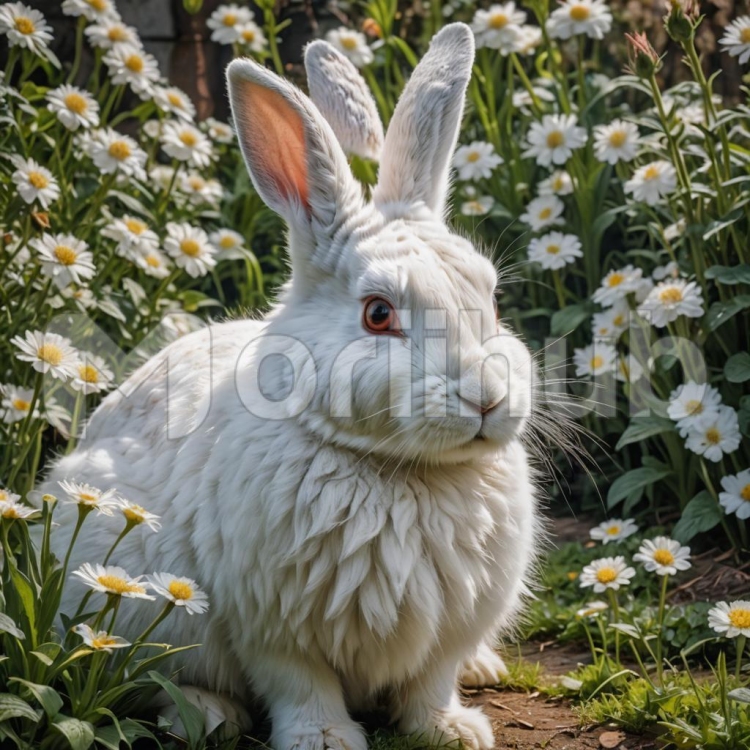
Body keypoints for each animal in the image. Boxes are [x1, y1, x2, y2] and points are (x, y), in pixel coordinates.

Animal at [43, 23, 541, 750]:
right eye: (378, 314)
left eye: (494, 299)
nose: (487, 398)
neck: (401, 470)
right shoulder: (269, 624)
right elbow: (299, 684)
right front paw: (326, 739)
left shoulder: (447, 627)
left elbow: (431, 681)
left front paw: (453, 730)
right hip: (128, 584)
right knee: (140, 669)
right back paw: (207, 716)